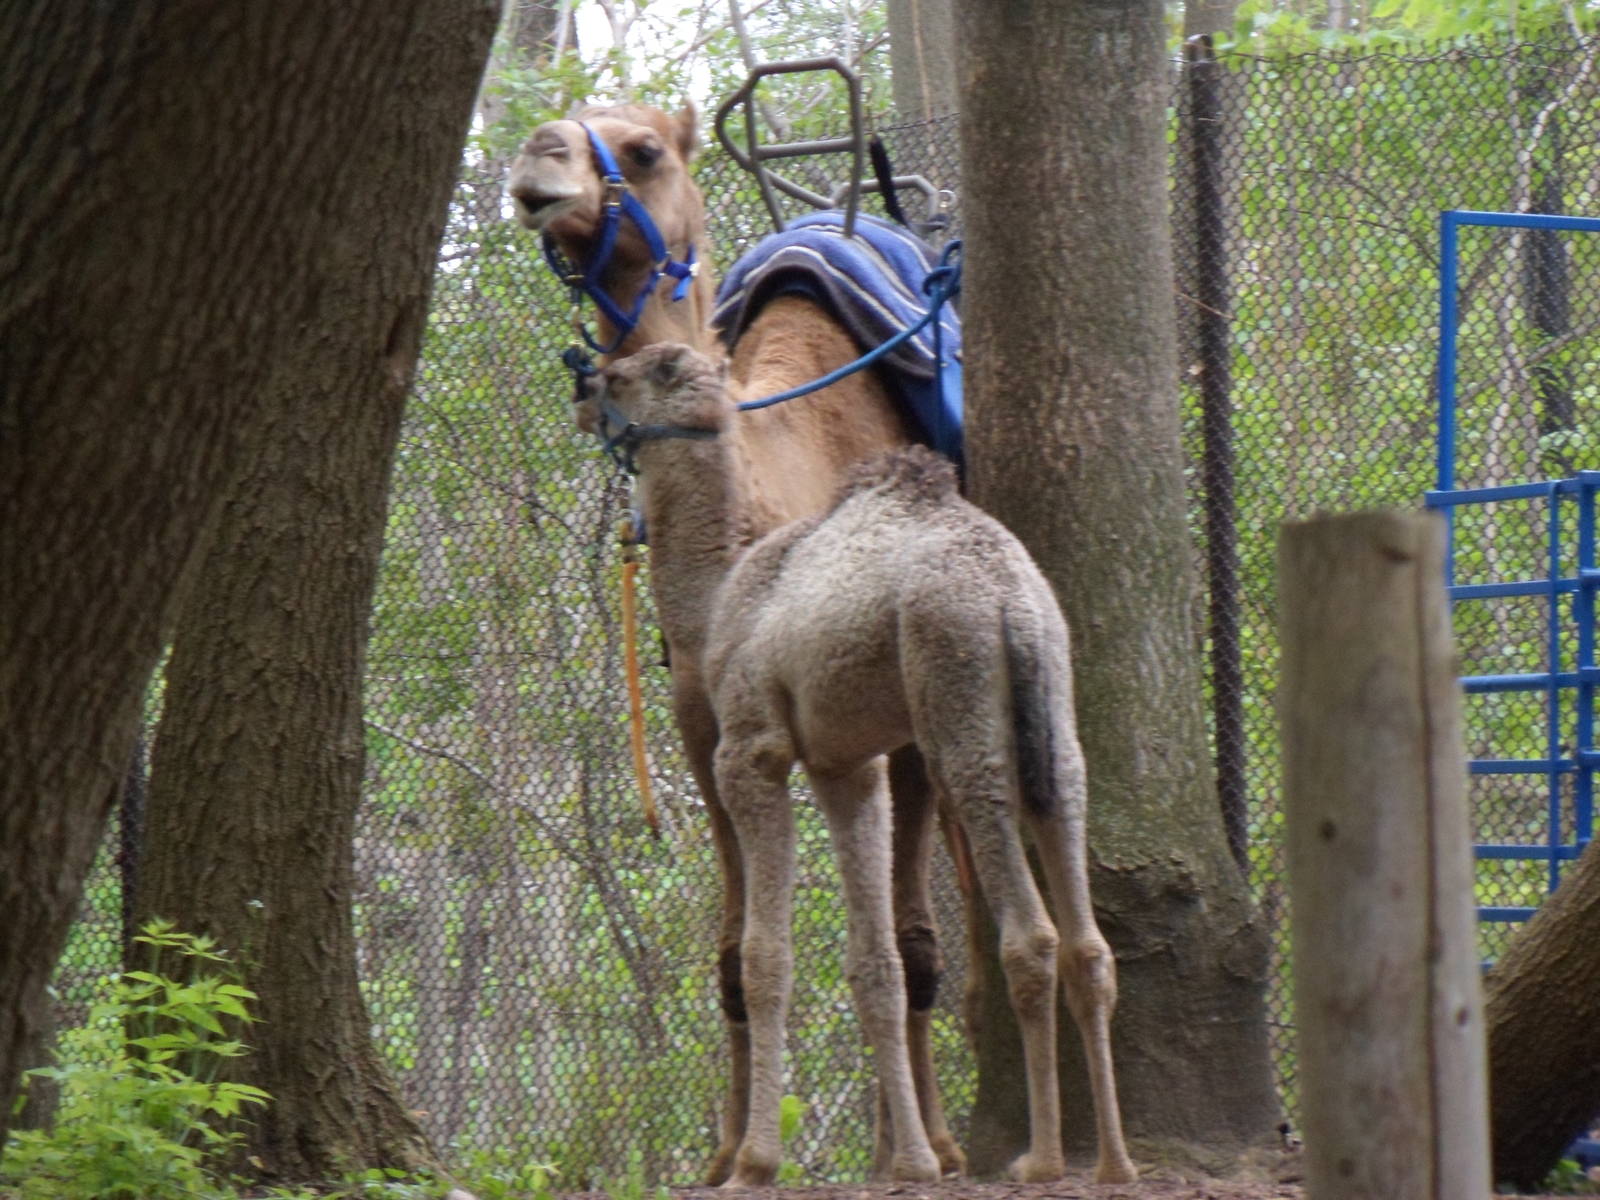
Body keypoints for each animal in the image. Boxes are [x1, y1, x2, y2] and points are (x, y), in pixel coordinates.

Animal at [509, 104, 964, 1181]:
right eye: (569, 125)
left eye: (642, 151)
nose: (538, 158)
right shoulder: (700, 731)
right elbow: (730, 954)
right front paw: (724, 1157)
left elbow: (883, 938)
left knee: (920, 932)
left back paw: (931, 1139)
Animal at [581, 343, 1137, 1187]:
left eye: (622, 374)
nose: (581, 383)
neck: (721, 597)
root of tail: (1010, 601)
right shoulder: (847, 768)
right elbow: (874, 961)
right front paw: (912, 1161)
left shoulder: (755, 748)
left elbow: (765, 955)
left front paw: (755, 1163)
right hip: (1052, 721)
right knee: (1086, 935)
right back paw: (1113, 1162)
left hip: (959, 704)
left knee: (1031, 935)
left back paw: (1039, 1161)